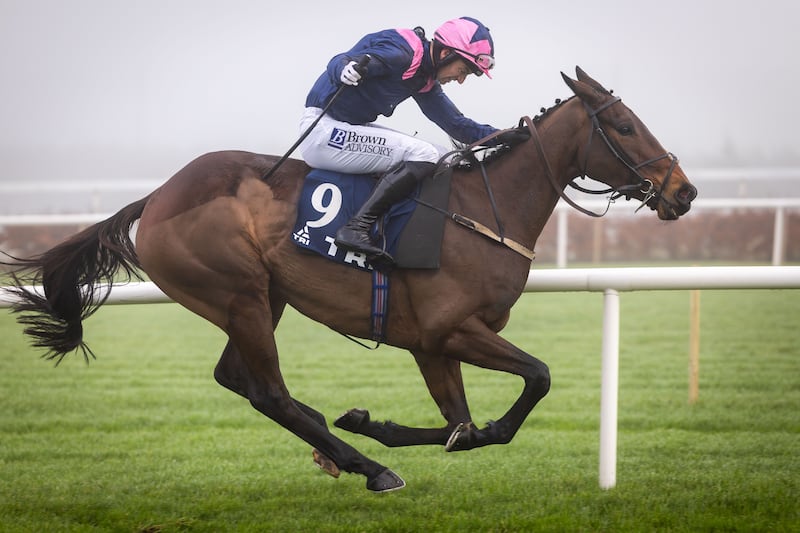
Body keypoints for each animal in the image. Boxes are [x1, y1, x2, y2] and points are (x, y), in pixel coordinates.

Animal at [3, 67, 696, 490]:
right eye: (625, 126)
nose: (683, 192)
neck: (481, 206)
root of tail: (157, 197)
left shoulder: (430, 344)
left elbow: (461, 427)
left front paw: (369, 422)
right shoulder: (450, 330)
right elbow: (532, 384)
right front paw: (373, 433)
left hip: (262, 298)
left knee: (239, 379)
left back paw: (338, 448)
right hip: (240, 292)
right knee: (267, 391)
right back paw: (366, 466)